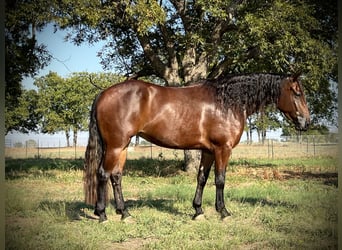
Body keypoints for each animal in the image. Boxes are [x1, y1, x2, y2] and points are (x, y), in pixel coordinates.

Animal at [83, 73, 310, 222]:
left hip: (122, 146)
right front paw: (223, 212)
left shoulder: (208, 150)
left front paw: (198, 211)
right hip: (115, 146)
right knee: (103, 174)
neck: (227, 102)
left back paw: (125, 213)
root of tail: (103, 94)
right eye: (297, 93)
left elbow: (202, 178)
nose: (306, 122)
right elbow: (220, 180)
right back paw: (102, 214)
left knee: (116, 176)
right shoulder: (223, 149)